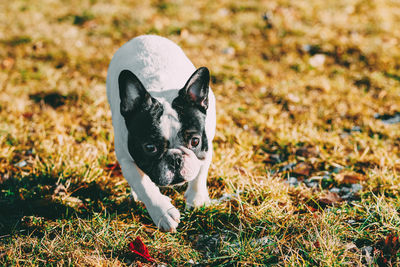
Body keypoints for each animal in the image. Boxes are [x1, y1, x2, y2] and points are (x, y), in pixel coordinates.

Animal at [104, 35, 214, 232]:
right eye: (150, 148)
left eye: (195, 141)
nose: (176, 159)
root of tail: (144, 37)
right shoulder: (126, 159)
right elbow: (144, 185)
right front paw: (163, 212)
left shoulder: (207, 147)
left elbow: (200, 172)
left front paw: (197, 199)